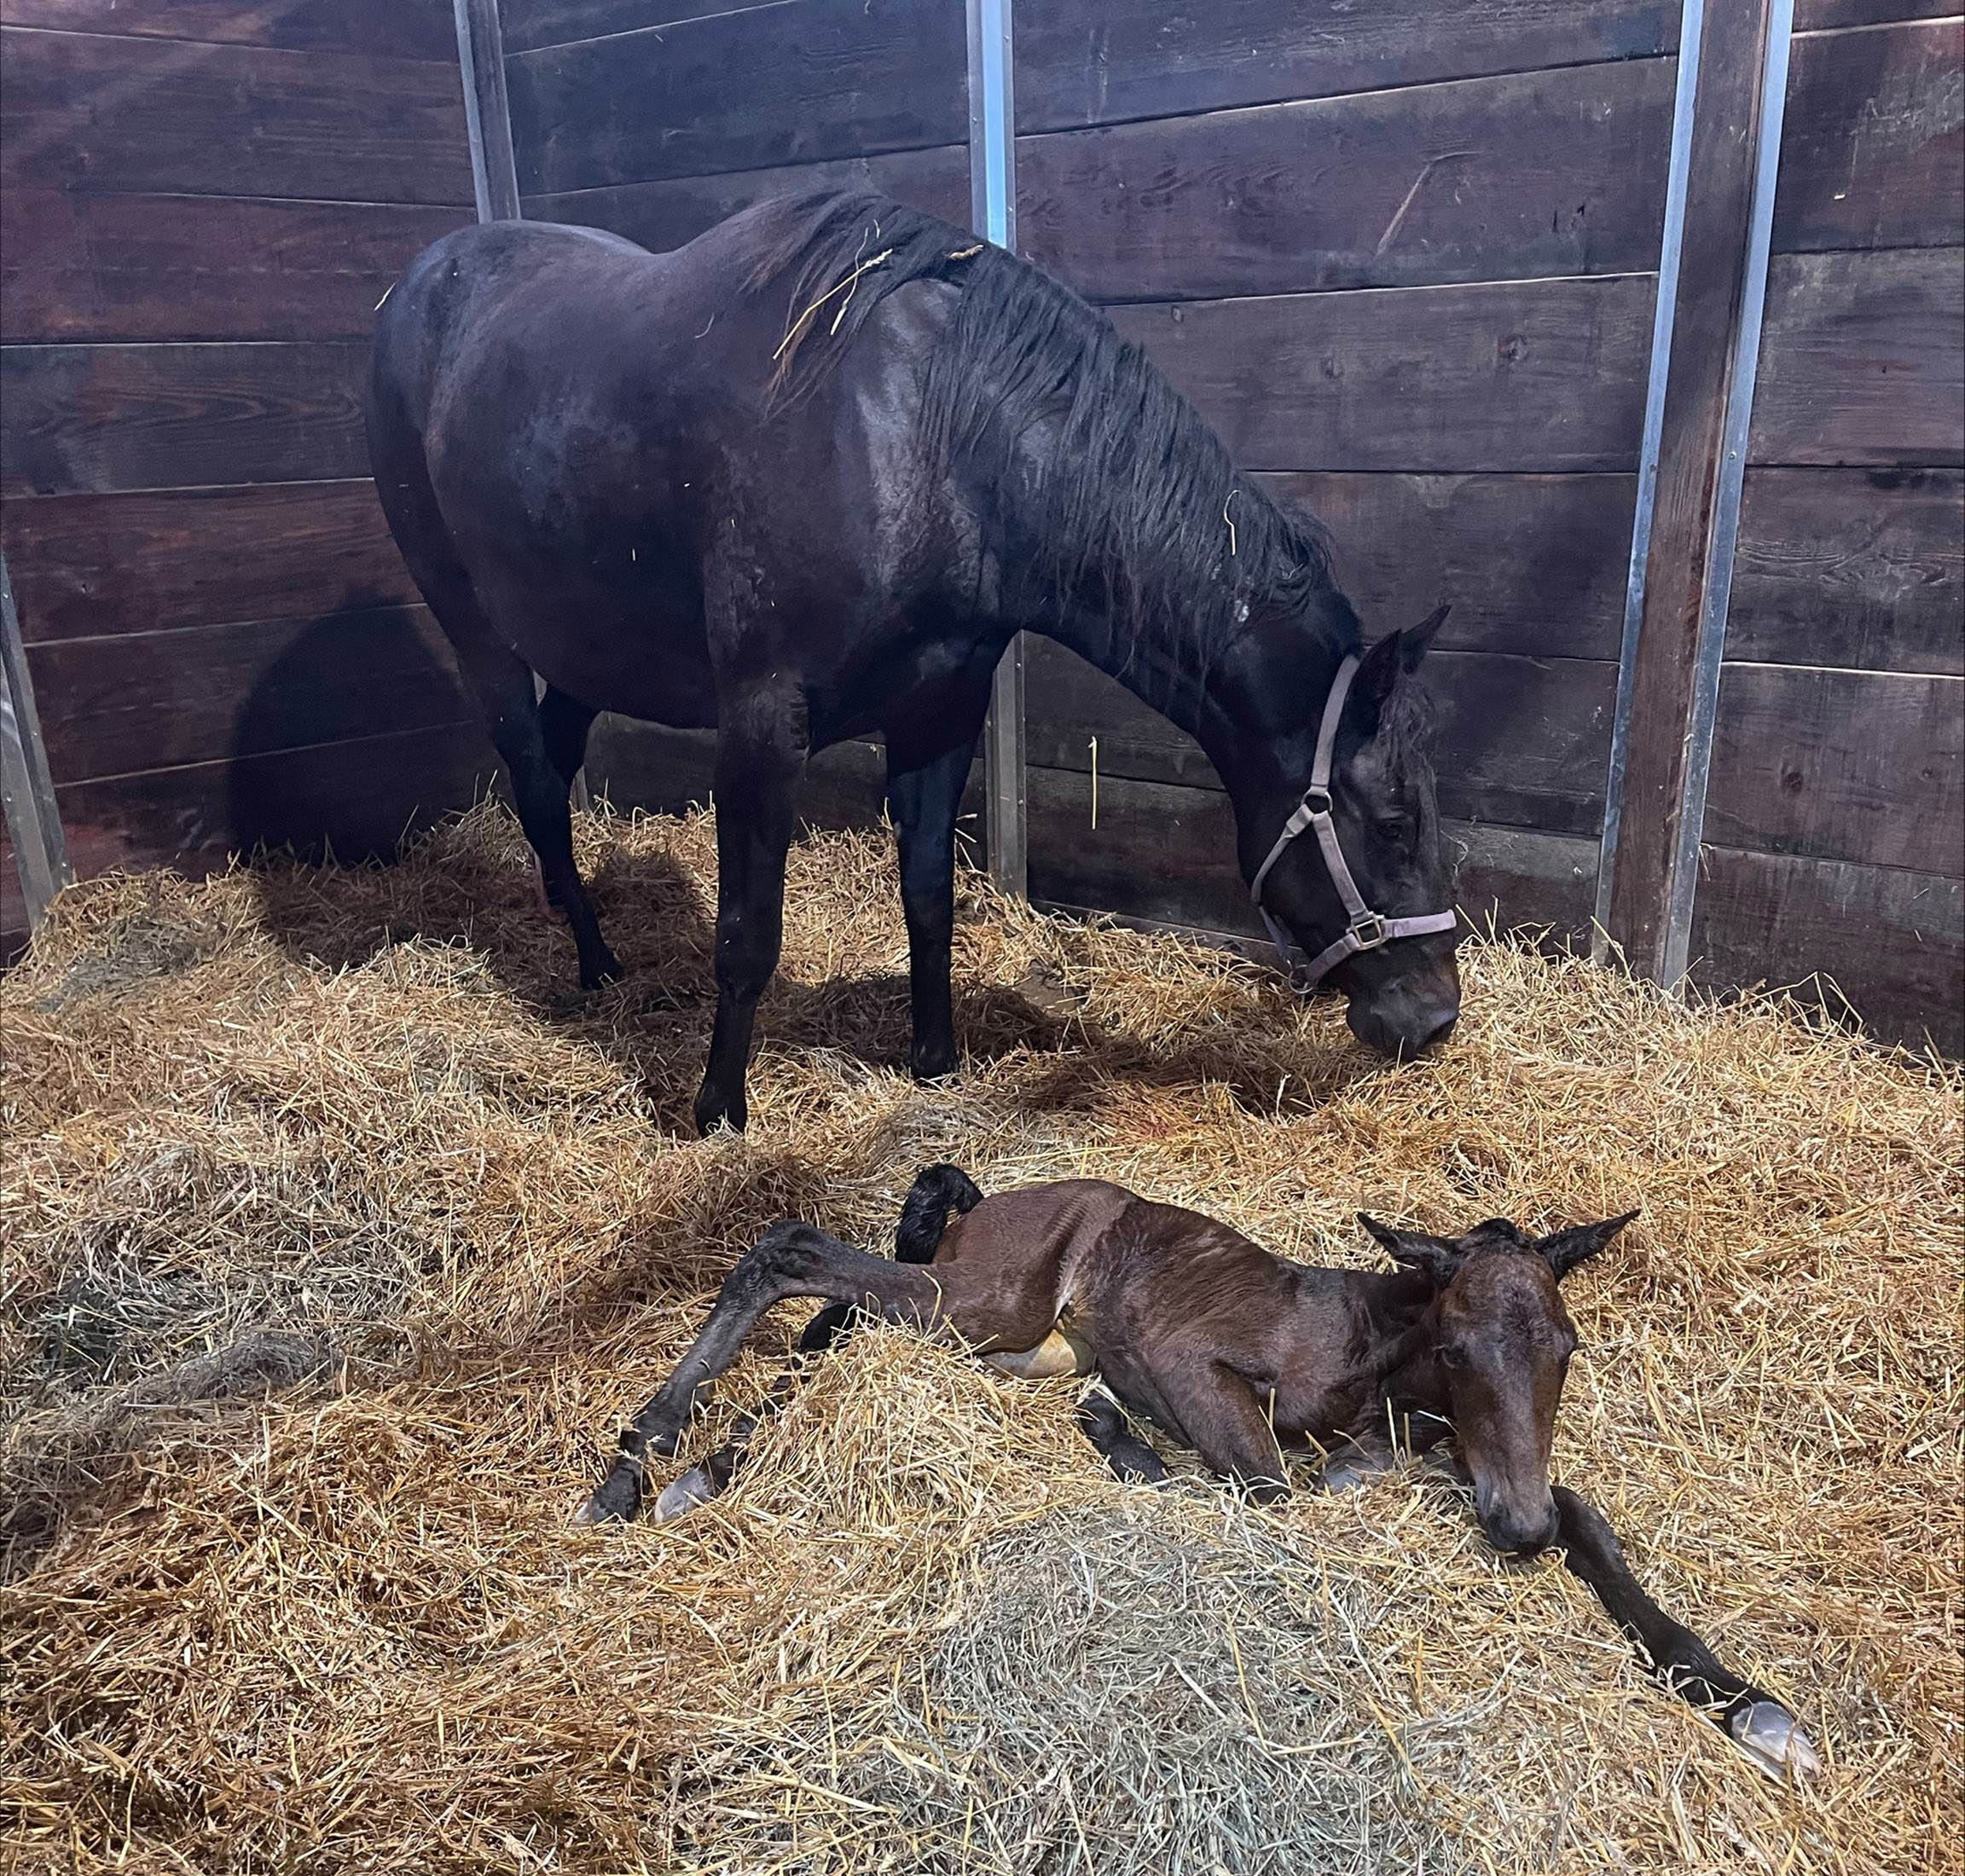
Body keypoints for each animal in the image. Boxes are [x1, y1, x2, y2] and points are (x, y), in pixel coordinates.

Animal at [366, 190, 1462, 1134]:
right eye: (1392, 822)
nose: (1434, 1017)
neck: (928, 436)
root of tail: (416, 284)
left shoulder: (940, 710)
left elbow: (929, 895)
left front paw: (934, 1057)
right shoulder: (762, 726)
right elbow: (747, 933)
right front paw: (717, 1110)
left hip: (583, 650)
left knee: (552, 770)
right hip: (477, 631)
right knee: (535, 782)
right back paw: (594, 963)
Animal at [576, 1166, 1820, 1784]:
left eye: (1563, 1347)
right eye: (1463, 1346)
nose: (1509, 1531)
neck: (1372, 1349)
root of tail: (988, 1199)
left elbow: (1582, 1514)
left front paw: (1749, 1702)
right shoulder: (1198, 1365)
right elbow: (1263, 1493)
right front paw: (1127, 1444)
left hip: (1002, 1337)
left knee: (841, 1327)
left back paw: (704, 1466)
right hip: (991, 1302)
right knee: (792, 1253)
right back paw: (637, 1467)